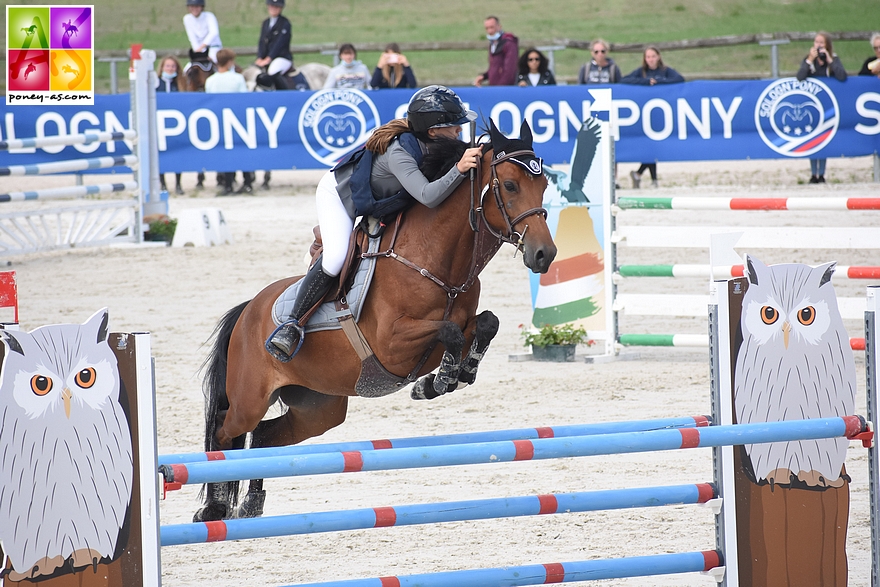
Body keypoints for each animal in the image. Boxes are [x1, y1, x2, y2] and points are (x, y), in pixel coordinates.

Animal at [194, 119, 556, 524]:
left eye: (544, 184)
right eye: (509, 185)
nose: (545, 254)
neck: (434, 262)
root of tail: (247, 311)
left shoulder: (457, 325)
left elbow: (486, 323)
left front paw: (450, 378)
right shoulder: (392, 345)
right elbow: (449, 332)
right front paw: (442, 379)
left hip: (318, 408)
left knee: (265, 437)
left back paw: (251, 503)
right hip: (250, 399)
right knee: (225, 431)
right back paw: (215, 506)